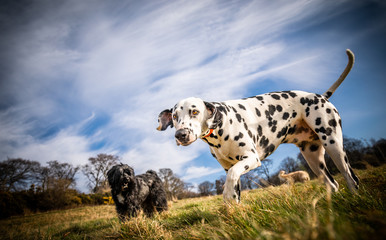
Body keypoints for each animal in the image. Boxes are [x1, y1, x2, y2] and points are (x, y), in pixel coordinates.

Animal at [156, 49, 358, 203]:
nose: (181, 135)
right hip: (313, 157)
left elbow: (231, 178)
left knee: (351, 178)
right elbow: (234, 189)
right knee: (333, 184)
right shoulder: (229, 167)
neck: (220, 130)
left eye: (195, 112)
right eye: (174, 116)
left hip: (334, 146)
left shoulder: (250, 159)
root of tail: (321, 97)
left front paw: (226, 194)